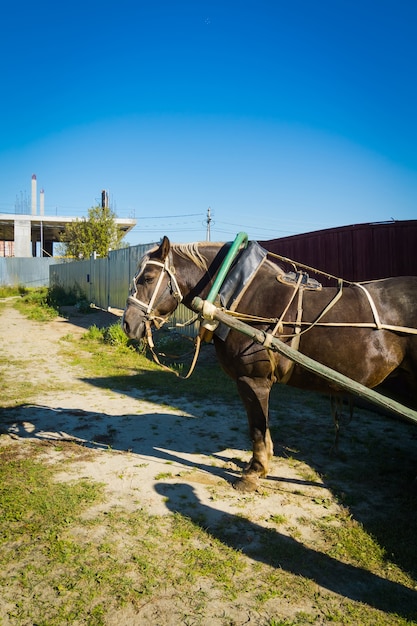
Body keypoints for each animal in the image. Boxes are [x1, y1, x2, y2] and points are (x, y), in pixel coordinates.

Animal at [122, 236, 416, 490]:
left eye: (148, 278)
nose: (127, 323)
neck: (240, 293)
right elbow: (261, 429)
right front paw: (262, 465)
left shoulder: (253, 381)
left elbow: (257, 428)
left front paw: (253, 473)